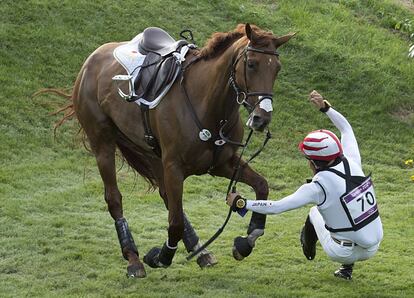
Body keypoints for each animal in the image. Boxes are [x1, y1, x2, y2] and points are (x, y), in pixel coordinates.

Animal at [51, 23, 292, 278]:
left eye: (276, 68)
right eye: (252, 64)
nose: (261, 118)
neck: (208, 104)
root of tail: (92, 59)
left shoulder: (221, 164)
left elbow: (262, 186)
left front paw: (248, 239)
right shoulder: (174, 167)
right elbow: (174, 223)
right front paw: (161, 256)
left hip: (152, 154)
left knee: (167, 198)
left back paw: (200, 251)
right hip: (103, 145)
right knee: (115, 199)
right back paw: (133, 259)